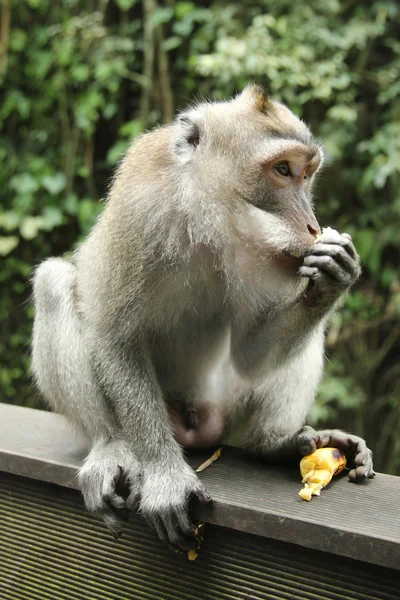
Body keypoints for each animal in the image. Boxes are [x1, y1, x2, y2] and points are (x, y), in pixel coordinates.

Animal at [32, 85, 376, 552]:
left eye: (307, 174)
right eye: (282, 169)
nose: (311, 226)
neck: (205, 222)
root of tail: (199, 423)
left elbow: (250, 355)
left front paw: (332, 276)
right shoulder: (140, 212)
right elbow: (114, 335)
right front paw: (165, 478)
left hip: (226, 403)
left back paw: (273, 445)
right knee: (53, 282)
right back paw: (110, 446)